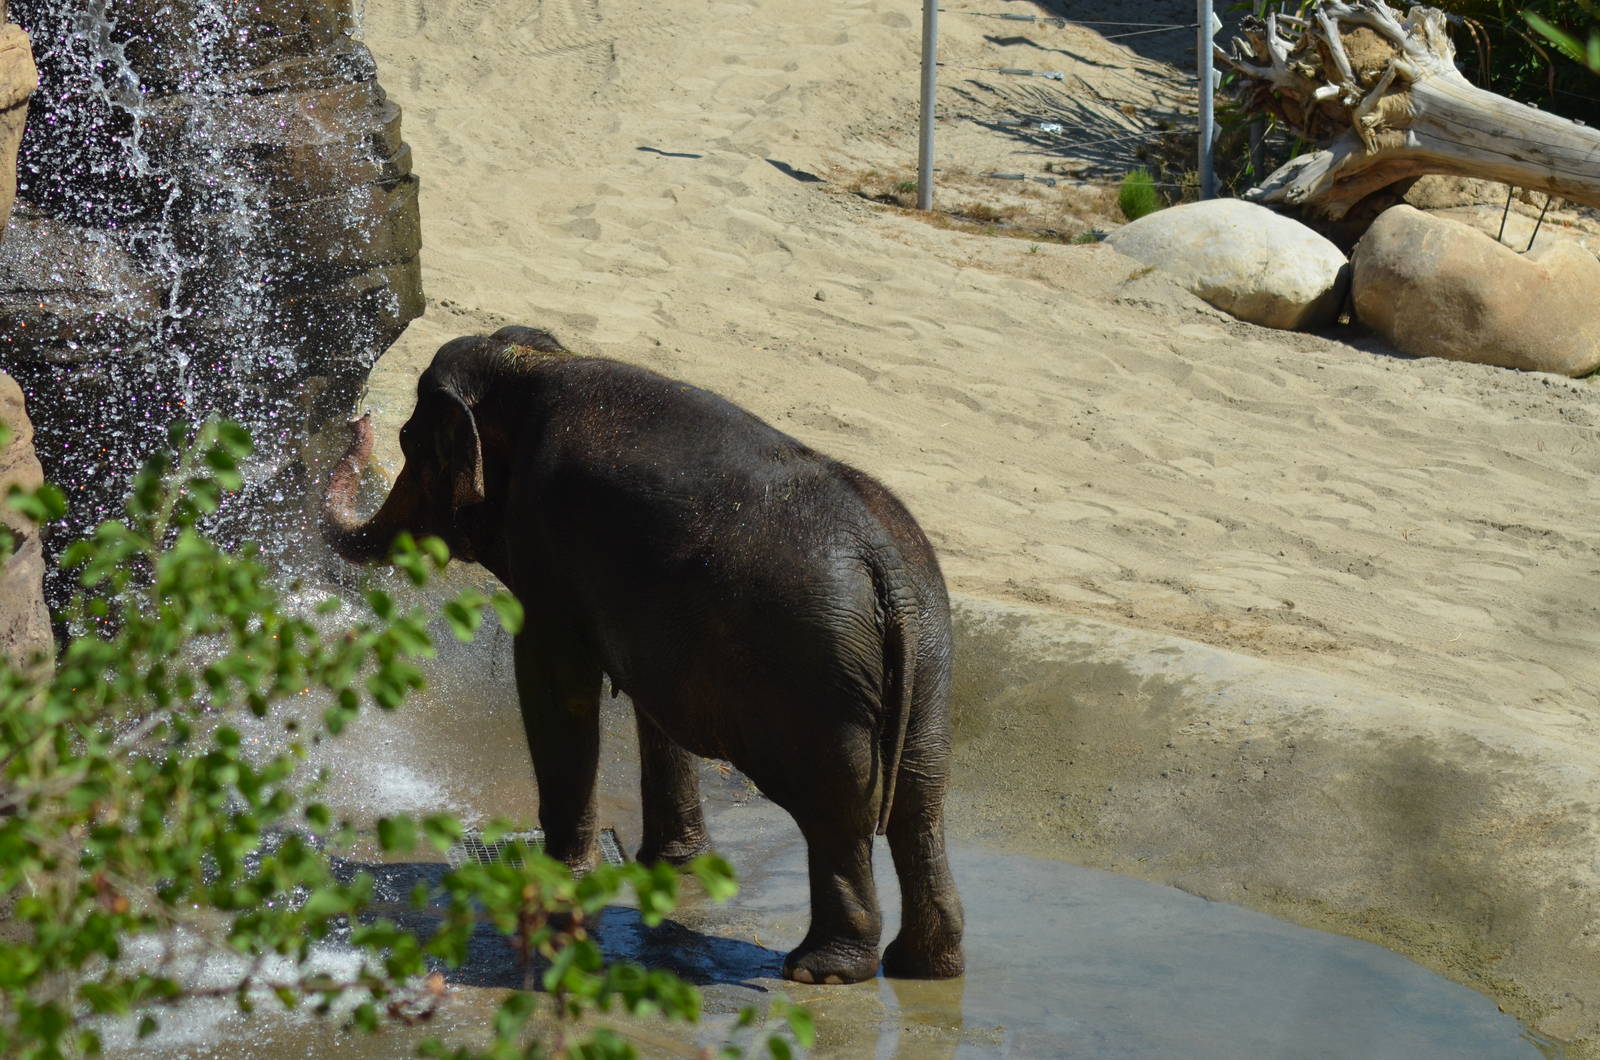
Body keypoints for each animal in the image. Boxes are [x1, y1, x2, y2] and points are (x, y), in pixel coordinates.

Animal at [322, 325, 964, 984]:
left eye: (406, 441)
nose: (359, 419)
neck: (532, 365)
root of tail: (884, 564)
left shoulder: (548, 541)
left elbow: (557, 685)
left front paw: (560, 876)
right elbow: (649, 702)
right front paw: (673, 864)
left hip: (818, 681)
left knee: (838, 808)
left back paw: (823, 971)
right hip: (929, 652)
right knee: (920, 795)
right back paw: (925, 966)